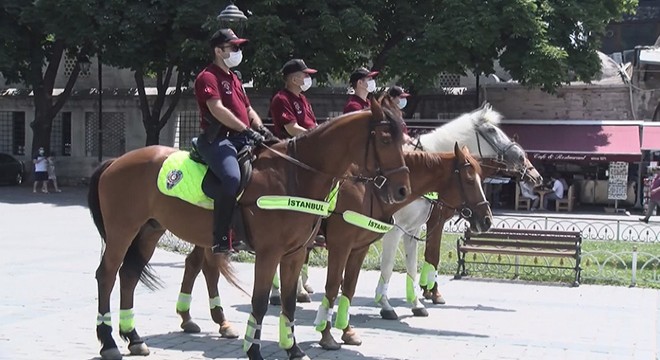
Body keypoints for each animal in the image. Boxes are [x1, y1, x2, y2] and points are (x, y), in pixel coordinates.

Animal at [85, 97, 410, 360]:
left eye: (404, 137)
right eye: (385, 139)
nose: (402, 189)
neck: (295, 174)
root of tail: (116, 161)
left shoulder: (295, 254)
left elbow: (290, 302)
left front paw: (293, 348)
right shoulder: (271, 253)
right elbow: (262, 301)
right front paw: (254, 349)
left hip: (150, 231)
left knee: (130, 275)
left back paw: (134, 337)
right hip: (122, 231)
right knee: (107, 275)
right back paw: (109, 341)